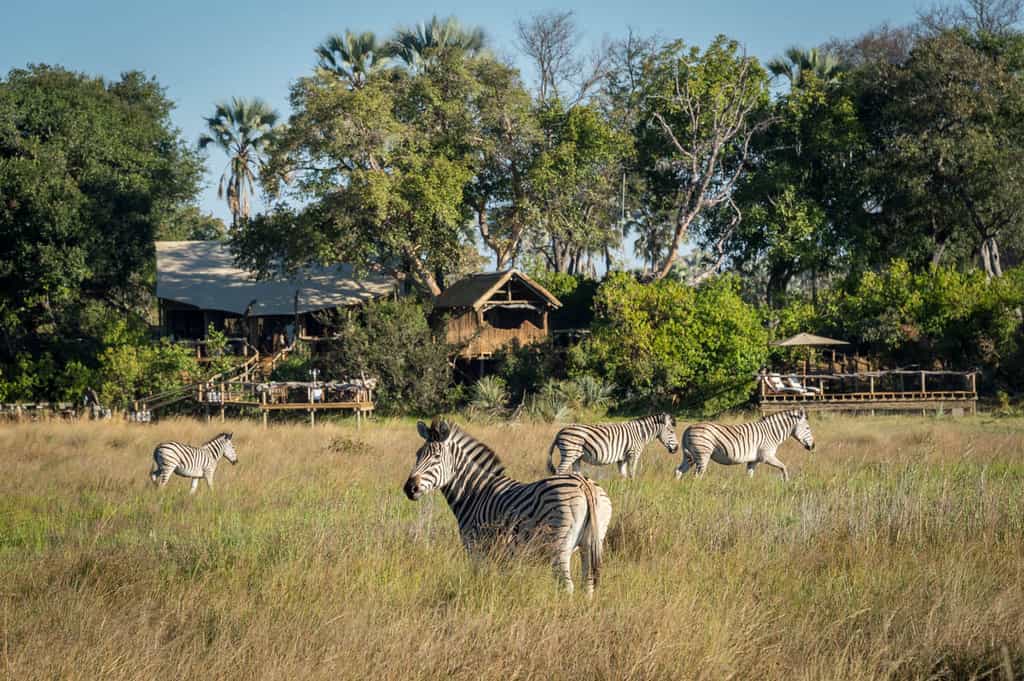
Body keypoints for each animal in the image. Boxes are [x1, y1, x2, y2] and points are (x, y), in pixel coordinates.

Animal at [404, 419, 613, 596]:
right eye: (417, 455)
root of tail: (584, 483)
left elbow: (478, 578)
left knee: (567, 586)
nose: (409, 488)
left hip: (559, 545)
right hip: (592, 542)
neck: (475, 493)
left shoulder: (476, 547)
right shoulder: (502, 553)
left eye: (436, 457)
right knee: (588, 583)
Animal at [547, 414, 679, 479]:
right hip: (569, 453)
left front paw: (624, 492)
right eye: (671, 431)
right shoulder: (633, 454)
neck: (640, 434)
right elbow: (632, 473)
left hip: (576, 456)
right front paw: (633, 489)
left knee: (575, 472)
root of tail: (560, 431)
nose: (677, 449)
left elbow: (623, 475)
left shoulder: (622, 458)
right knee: (559, 471)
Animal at [675, 409, 815, 482]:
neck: (772, 433)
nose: (813, 446)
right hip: (702, 455)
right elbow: (784, 467)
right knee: (697, 476)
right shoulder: (766, 457)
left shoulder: (753, 461)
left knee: (679, 471)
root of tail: (689, 428)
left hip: (690, 456)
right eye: (808, 428)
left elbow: (749, 476)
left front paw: (748, 490)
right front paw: (786, 482)